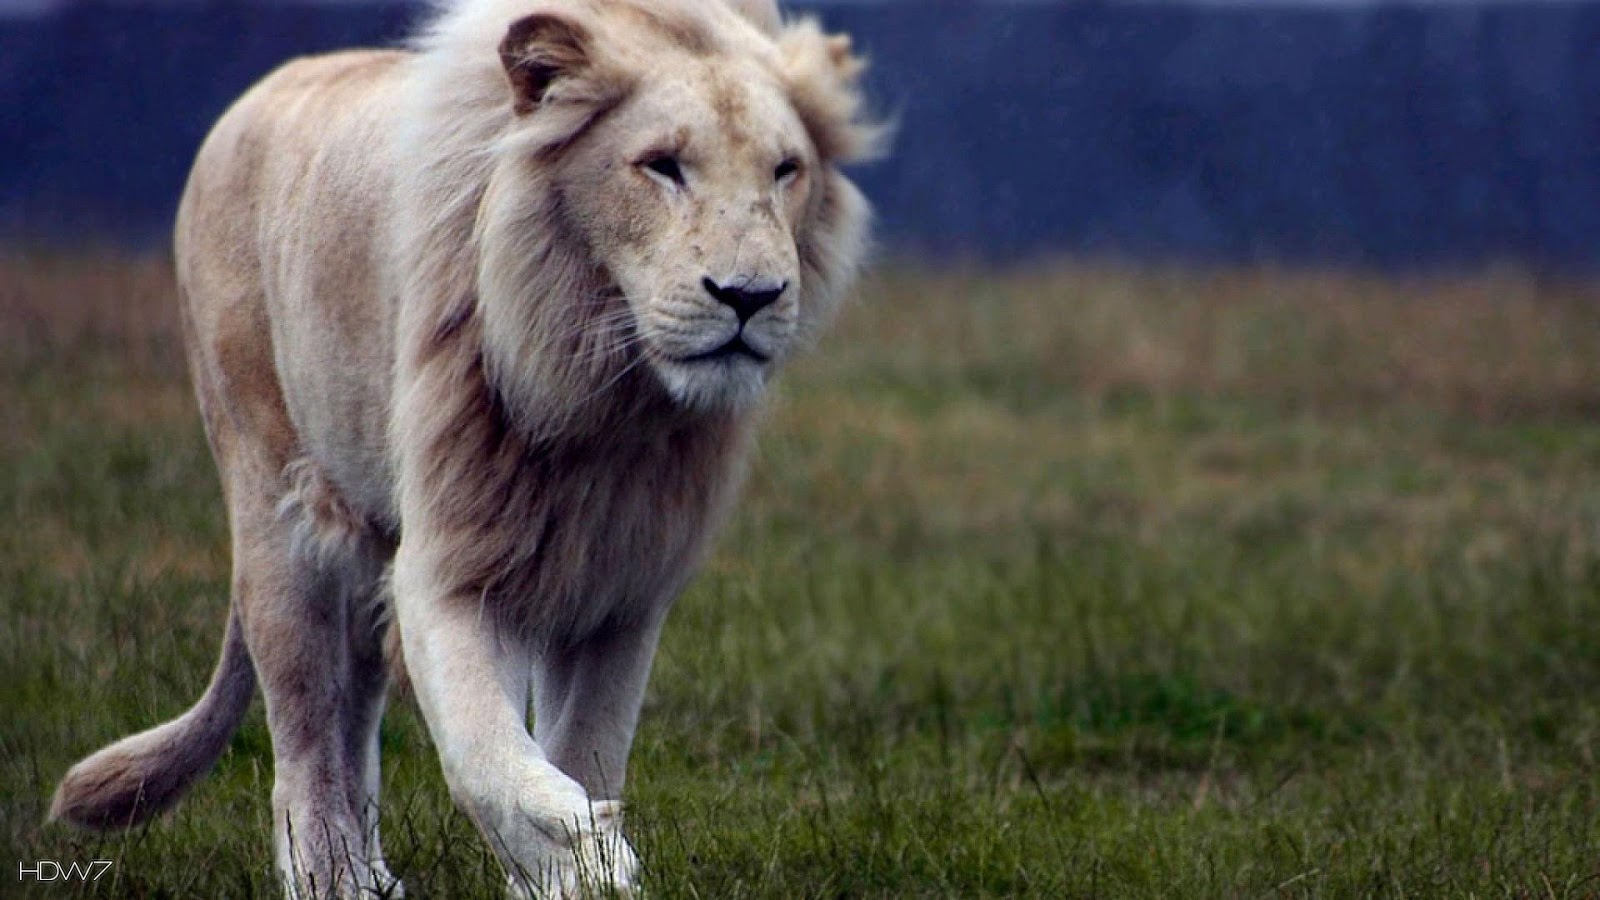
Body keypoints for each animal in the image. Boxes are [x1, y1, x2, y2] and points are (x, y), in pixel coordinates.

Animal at [50, 0, 883, 890]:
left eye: (785, 170)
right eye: (662, 166)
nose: (750, 296)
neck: (603, 392)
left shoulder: (623, 586)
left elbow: (589, 744)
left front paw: (576, 866)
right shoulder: (454, 563)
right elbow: (487, 753)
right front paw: (579, 850)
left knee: (353, 711)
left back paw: (373, 877)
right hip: (274, 501)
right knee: (304, 728)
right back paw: (332, 880)